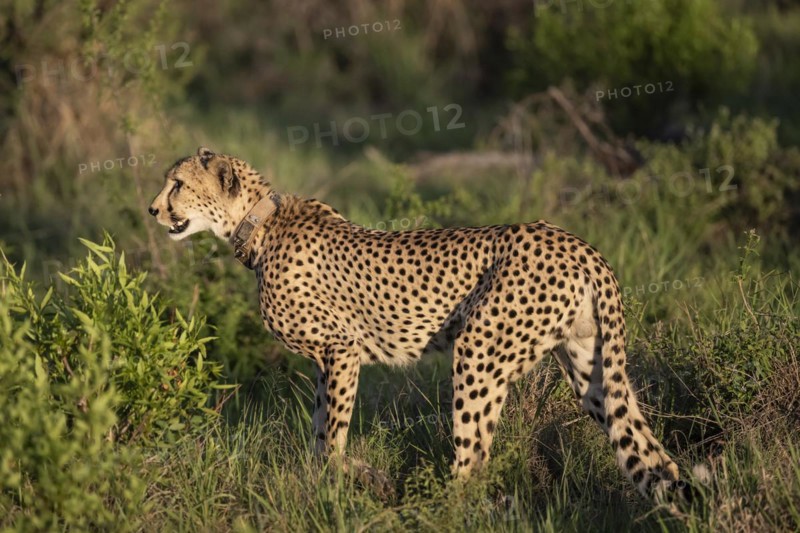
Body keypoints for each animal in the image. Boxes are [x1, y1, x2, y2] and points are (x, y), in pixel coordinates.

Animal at [149, 147, 689, 502]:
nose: (152, 209)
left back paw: (436, 511)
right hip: (589, 365)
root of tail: (577, 244)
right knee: (650, 454)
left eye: (178, 185)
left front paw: (353, 481)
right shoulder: (328, 361)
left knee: (472, 463)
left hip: (479, 352)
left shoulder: (341, 349)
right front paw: (339, 480)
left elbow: (332, 434)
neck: (255, 225)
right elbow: (320, 432)